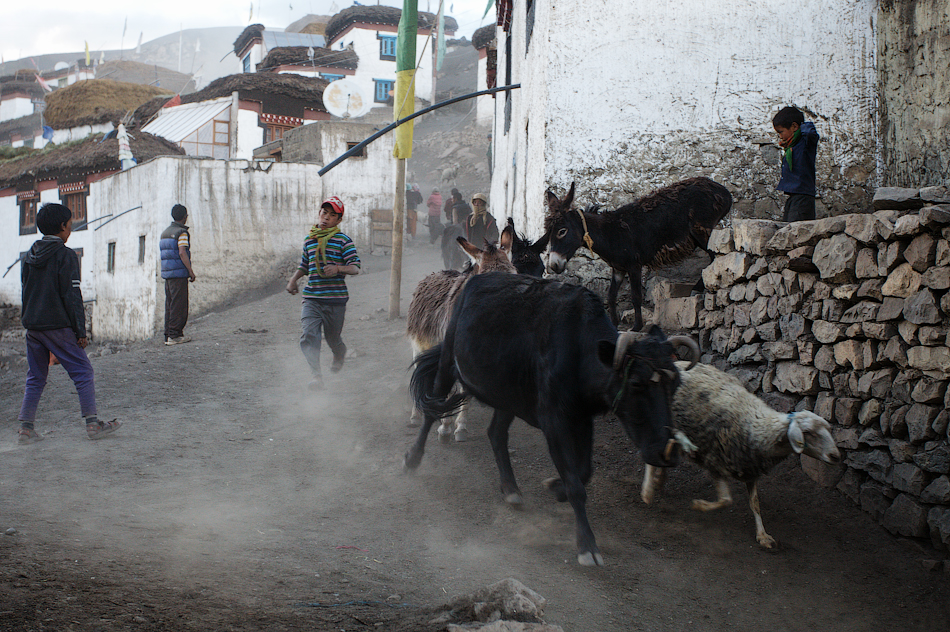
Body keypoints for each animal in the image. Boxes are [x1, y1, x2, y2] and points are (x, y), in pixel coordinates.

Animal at [648, 360, 840, 548]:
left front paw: (762, 535)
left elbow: (755, 503)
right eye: (808, 432)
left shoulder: (750, 468)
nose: (836, 456)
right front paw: (699, 505)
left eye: (829, 429)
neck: (755, 427)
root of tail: (676, 363)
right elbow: (726, 500)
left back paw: (659, 480)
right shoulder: (715, 461)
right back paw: (653, 485)